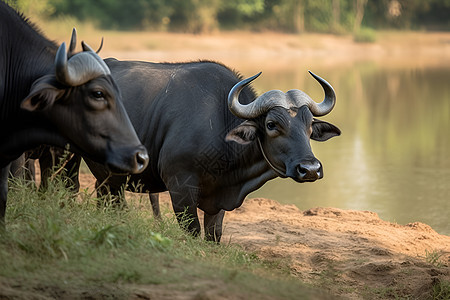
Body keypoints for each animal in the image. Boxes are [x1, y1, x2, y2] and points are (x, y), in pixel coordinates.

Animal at [59, 57, 338, 243]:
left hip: (109, 177)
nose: (310, 169)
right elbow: (192, 232)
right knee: (69, 186)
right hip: (67, 156)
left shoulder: (218, 202)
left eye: (309, 125)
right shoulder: (180, 187)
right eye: (271, 124)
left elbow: (214, 236)